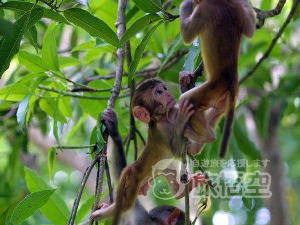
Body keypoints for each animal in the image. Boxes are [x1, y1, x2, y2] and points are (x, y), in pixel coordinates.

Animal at [179, 0, 254, 158]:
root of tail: (232, 82)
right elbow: (250, 30)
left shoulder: (203, 10)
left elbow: (187, 35)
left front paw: (186, 3)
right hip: (221, 98)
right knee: (217, 110)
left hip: (214, 88)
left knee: (187, 100)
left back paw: (207, 136)